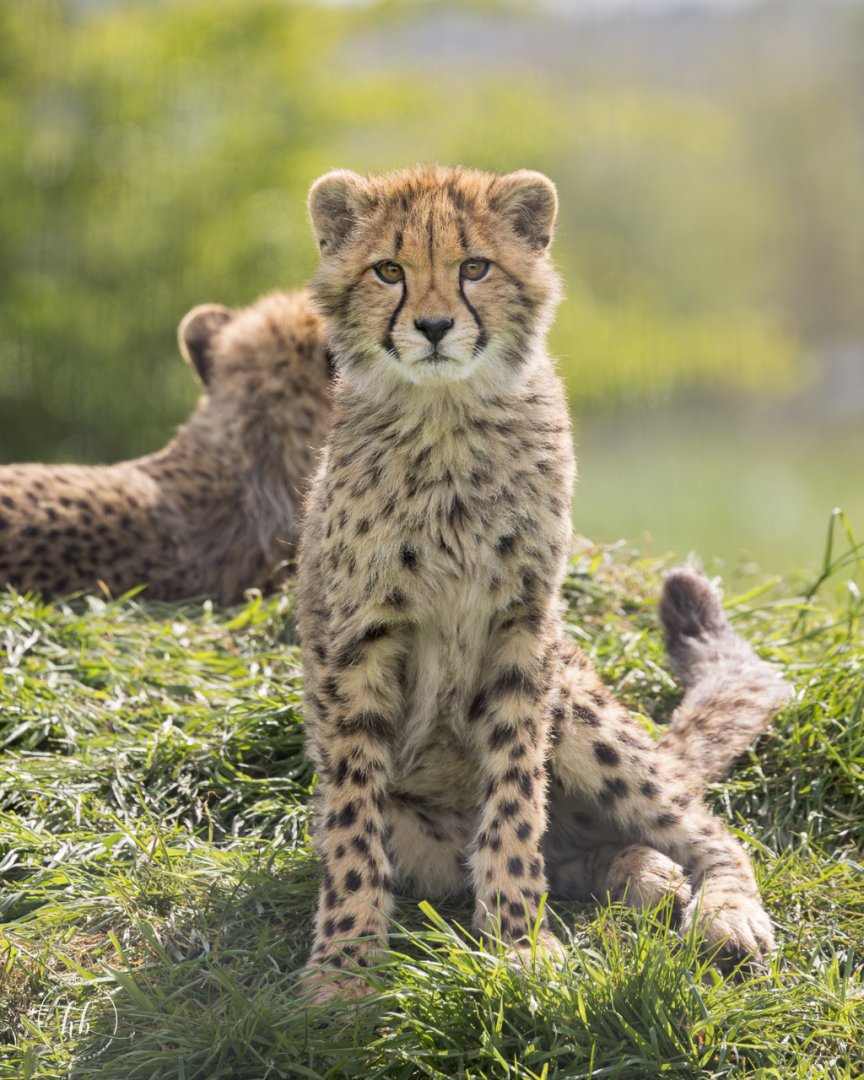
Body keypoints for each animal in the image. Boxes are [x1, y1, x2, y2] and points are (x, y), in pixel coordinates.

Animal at [296, 164, 790, 1001]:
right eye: (388, 270)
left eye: (474, 267)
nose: (434, 327)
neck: (446, 418)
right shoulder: (358, 639)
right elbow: (353, 820)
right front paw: (345, 964)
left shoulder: (522, 629)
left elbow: (515, 797)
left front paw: (519, 946)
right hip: (427, 841)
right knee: (563, 857)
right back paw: (643, 873)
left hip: (582, 707)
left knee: (705, 828)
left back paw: (723, 912)